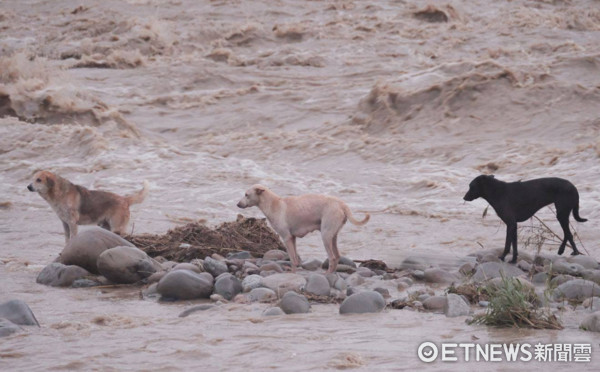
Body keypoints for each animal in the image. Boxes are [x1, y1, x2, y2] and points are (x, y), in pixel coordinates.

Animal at [236, 184, 368, 274]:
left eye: (246, 194)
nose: (237, 204)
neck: (274, 204)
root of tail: (341, 204)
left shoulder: (286, 237)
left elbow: (292, 258)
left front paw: (292, 272)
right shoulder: (292, 238)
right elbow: (295, 257)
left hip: (325, 236)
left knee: (332, 258)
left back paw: (327, 274)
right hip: (333, 235)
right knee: (337, 256)